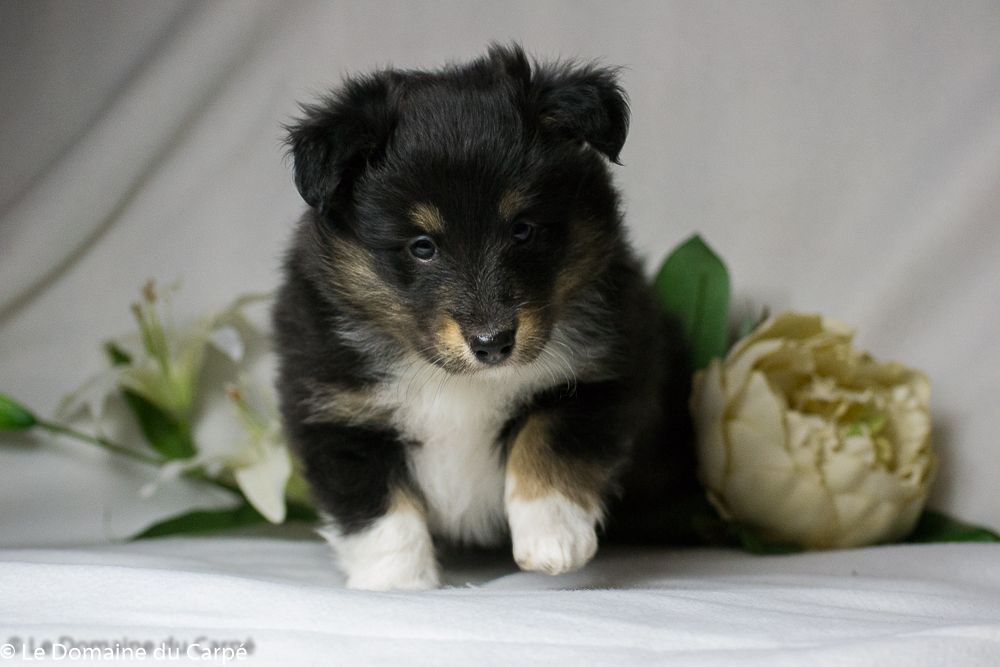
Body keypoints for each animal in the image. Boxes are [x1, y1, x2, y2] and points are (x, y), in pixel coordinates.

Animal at [273, 44, 696, 590]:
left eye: (522, 229)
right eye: (422, 246)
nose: (493, 343)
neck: (458, 380)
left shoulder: (606, 369)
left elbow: (551, 437)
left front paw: (552, 539)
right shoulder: (334, 410)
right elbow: (378, 509)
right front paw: (398, 585)